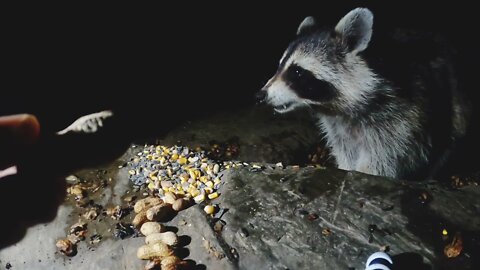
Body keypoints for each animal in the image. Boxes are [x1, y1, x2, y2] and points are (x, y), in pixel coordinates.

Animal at [256, 7, 470, 179]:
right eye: (279, 66)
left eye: (297, 72)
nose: (261, 95)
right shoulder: (338, 126)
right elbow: (345, 150)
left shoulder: (401, 119)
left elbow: (385, 158)